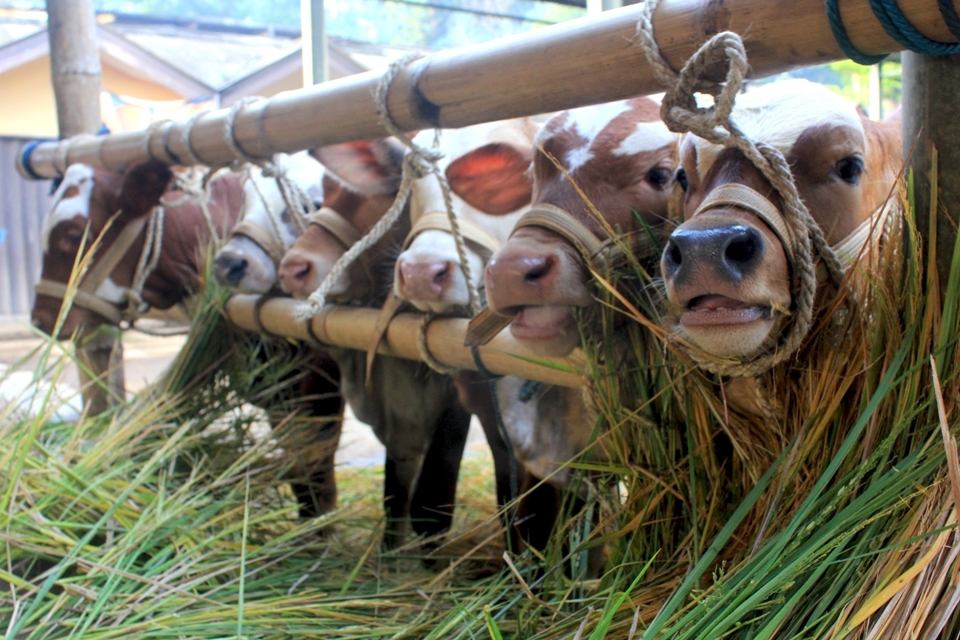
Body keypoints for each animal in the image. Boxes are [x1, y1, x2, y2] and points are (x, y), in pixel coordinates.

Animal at [278, 140, 474, 552]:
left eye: (390, 195)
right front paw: (389, 551)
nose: (292, 268)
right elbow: (395, 491)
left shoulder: (456, 404)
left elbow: (432, 502)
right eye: (323, 195)